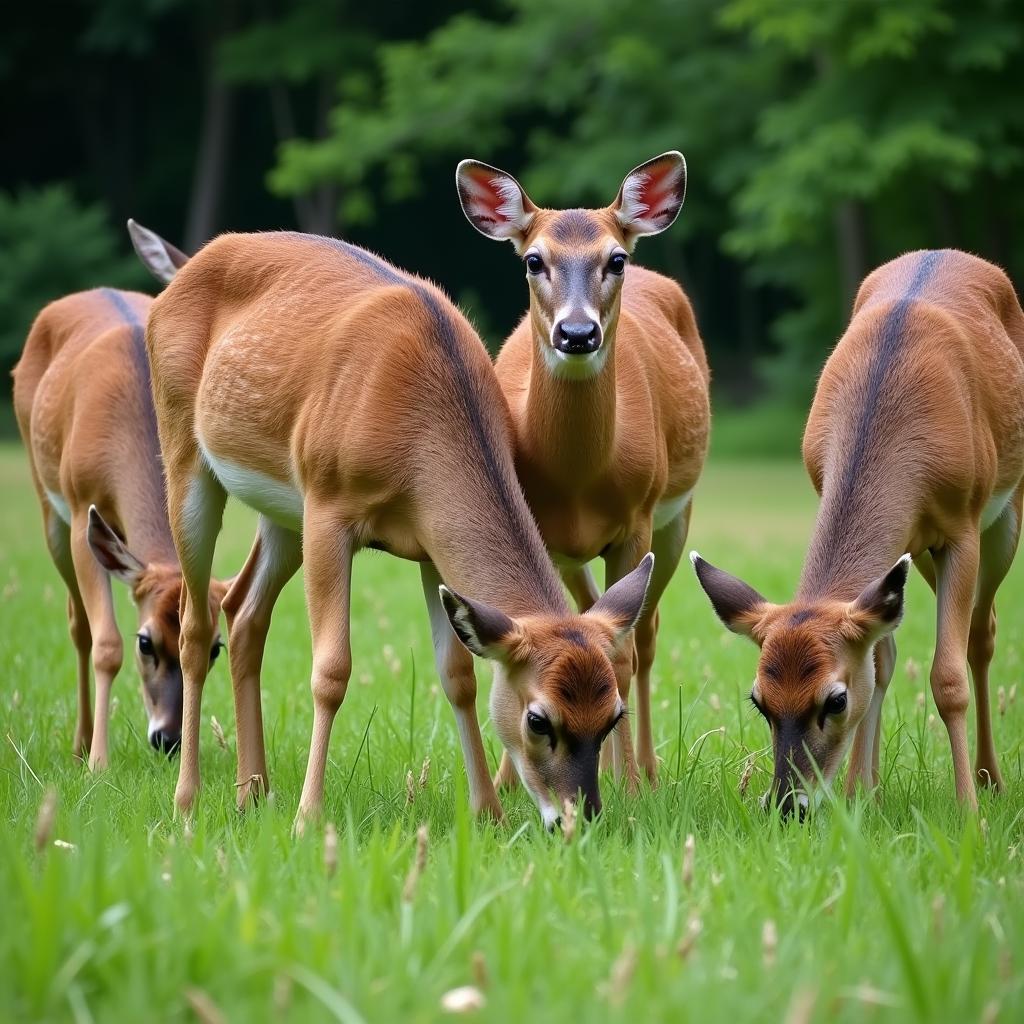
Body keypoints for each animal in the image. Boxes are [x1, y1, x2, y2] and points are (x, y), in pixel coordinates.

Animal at [11, 288, 226, 770]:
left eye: (217, 648)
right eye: (145, 643)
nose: (168, 739)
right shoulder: (79, 508)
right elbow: (106, 643)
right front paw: (97, 762)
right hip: (47, 497)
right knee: (78, 625)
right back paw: (80, 743)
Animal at [128, 220, 655, 827]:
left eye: (612, 714)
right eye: (539, 719)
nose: (579, 818)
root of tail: (183, 271)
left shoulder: (429, 545)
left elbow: (458, 676)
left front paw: (488, 814)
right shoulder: (328, 505)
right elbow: (331, 671)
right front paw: (309, 817)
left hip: (281, 509)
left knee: (243, 611)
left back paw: (252, 792)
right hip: (188, 454)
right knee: (195, 624)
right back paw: (187, 800)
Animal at [458, 153, 712, 790]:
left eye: (614, 259)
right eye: (533, 259)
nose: (577, 333)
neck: (579, 479)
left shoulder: (639, 518)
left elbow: (623, 651)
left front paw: (629, 786)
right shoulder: (542, 532)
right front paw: (508, 781)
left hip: (677, 514)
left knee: (644, 637)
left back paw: (643, 769)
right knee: (598, 612)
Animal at [688, 249, 1024, 815]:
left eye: (835, 699)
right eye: (759, 701)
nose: (788, 805)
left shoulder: (962, 527)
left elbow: (947, 676)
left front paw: (967, 814)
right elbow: (879, 657)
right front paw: (857, 795)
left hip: (1003, 517)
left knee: (983, 634)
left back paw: (988, 780)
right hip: (917, 553)